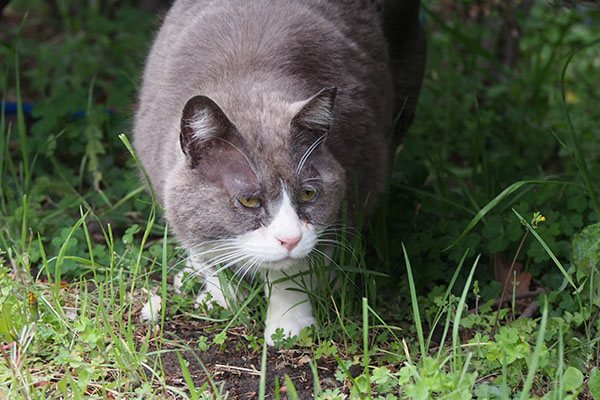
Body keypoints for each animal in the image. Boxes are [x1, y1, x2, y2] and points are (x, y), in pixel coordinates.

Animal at [135, 0, 426, 344]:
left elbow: (293, 269)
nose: (290, 238)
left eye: (309, 193)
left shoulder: (362, 175)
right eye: (249, 200)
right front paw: (222, 298)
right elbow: (205, 247)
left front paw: (289, 325)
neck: (248, 82)